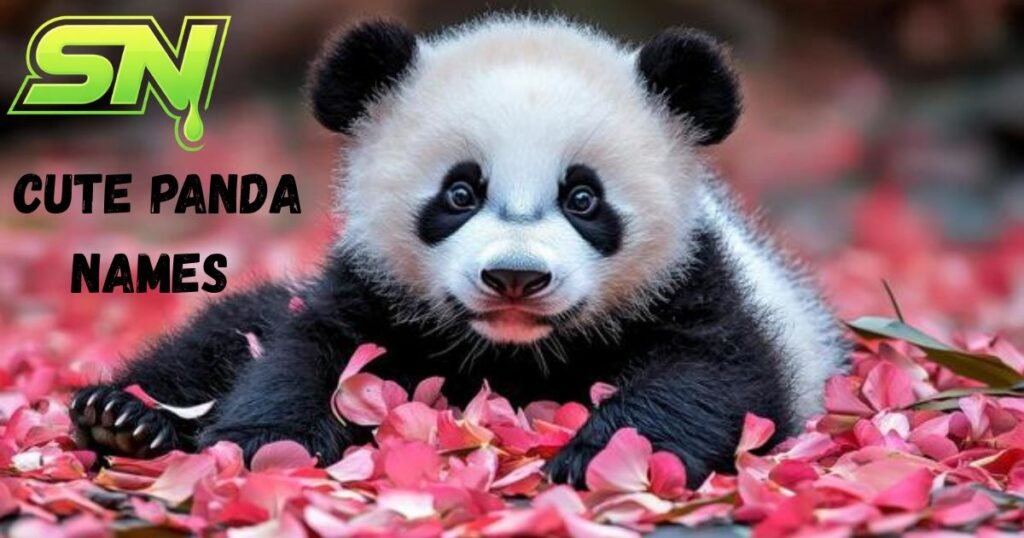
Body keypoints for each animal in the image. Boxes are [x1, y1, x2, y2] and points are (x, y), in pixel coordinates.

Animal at [69, 16, 848, 487]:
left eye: (583, 198)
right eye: (461, 192)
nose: (515, 276)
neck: (517, 353)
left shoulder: (696, 283)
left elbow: (711, 375)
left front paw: (597, 458)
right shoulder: (373, 289)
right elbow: (308, 351)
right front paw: (267, 441)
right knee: (219, 338)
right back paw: (125, 419)